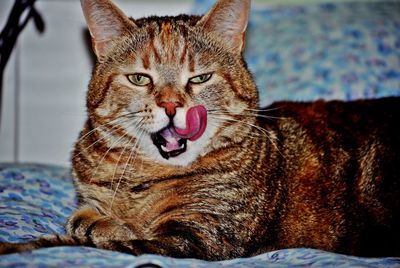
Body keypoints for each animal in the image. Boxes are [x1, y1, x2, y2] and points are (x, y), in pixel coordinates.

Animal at [0, 0, 400, 260]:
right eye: (139, 78)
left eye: (200, 78)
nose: (172, 106)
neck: (139, 176)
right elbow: (84, 218)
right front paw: (95, 219)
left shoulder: (197, 238)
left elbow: (78, 240)